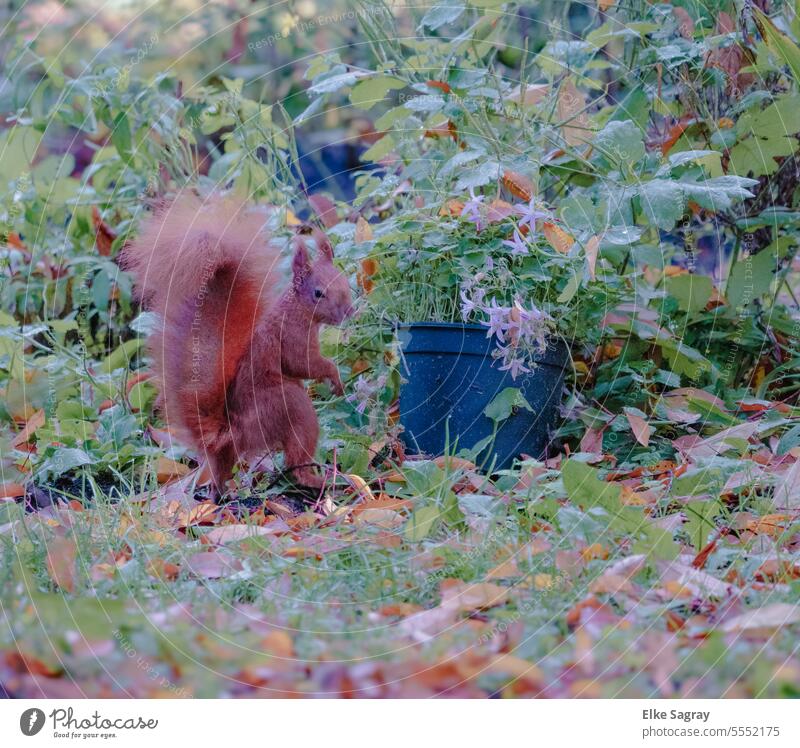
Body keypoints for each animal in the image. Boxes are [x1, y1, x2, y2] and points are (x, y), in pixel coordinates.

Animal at [122, 193, 354, 494]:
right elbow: (302, 364)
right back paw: (320, 480)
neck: (295, 310)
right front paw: (335, 377)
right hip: (289, 406)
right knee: (296, 462)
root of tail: (230, 435)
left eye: (345, 281)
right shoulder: (290, 337)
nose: (349, 312)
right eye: (318, 293)